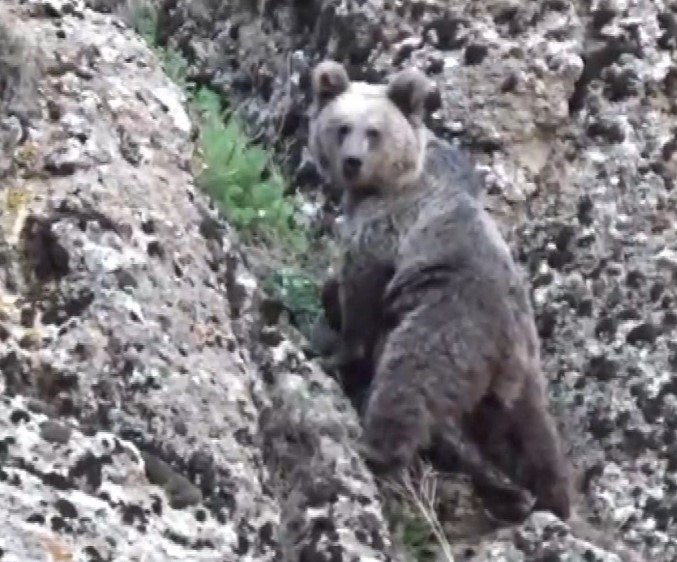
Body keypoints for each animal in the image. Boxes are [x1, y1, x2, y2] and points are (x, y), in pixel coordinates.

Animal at [308, 60, 572, 520]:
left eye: (373, 131)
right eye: (342, 127)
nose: (352, 162)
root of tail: (505, 347)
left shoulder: (384, 229)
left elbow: (359, 289)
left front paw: (336, 352)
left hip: (447, 324)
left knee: (408, 379)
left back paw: (375, 448)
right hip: (520, 379)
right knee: (531, 435)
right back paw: (543, 496)